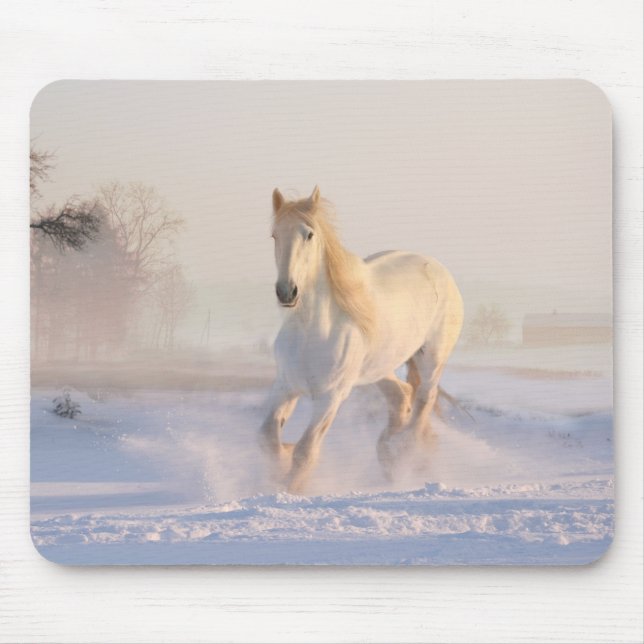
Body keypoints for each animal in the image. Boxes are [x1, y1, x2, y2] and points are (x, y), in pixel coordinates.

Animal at [259, 186, 464, 493]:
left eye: (309, 234)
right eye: (275, 235)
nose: (287, 292)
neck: (311, 332)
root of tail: (438, 269)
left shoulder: (331, 397)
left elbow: (305, 451)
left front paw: (290, 487)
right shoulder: (285, 386)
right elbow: (268, 439)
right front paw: (282, 461)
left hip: (432, 359)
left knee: (424, 400)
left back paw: (403, 453)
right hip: (378, 368)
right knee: (401, 395)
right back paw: (388, 453)